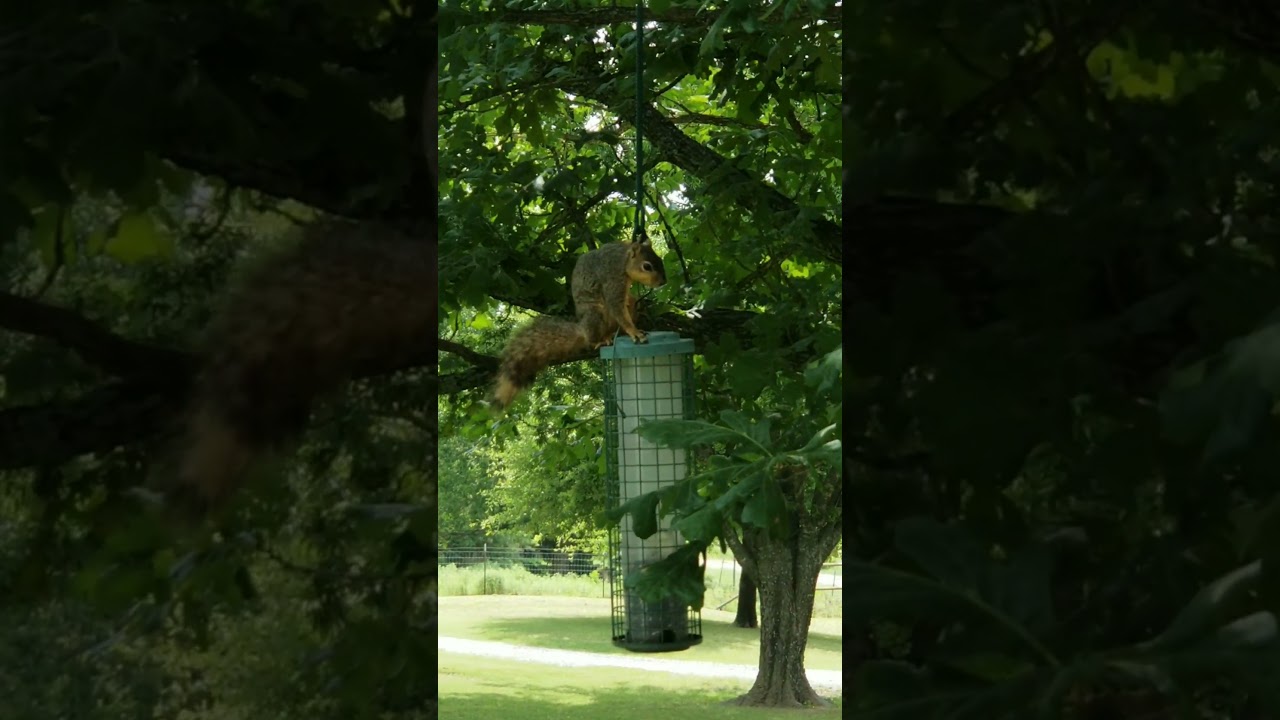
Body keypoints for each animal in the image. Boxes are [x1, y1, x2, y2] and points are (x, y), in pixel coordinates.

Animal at [491, 239, 667, 410]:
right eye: (647, 266)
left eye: (659, 259)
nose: (663, 282)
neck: (623, 260)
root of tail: (583, 329)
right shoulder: (612, 279)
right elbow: (617, 307)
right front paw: (634, 332)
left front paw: (633, 303)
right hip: (596, 316)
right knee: (593, 338)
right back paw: (602, 340)